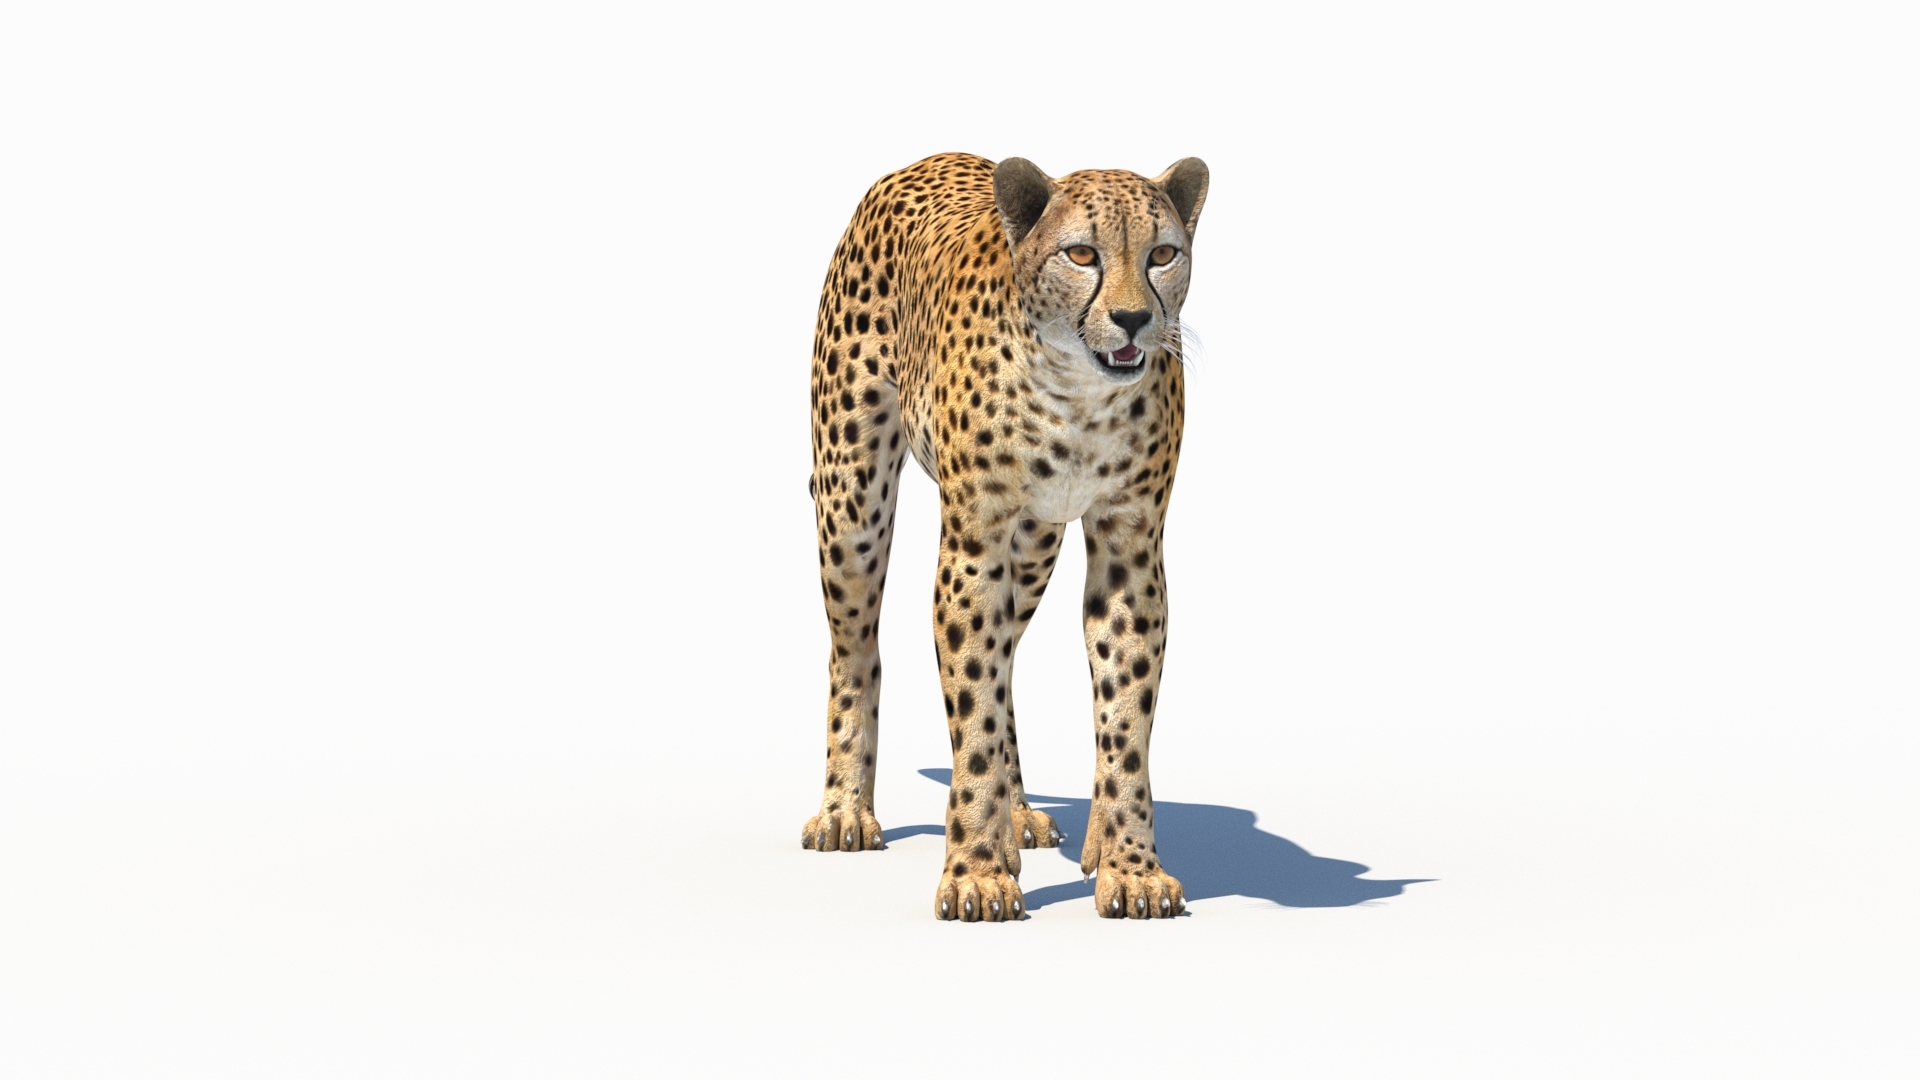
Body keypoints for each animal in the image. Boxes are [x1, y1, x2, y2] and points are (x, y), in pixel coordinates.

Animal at [801, 152, 1209, 921]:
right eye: (1081, 255)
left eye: (1162, 255)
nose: (1134, 319)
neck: (1078, 394)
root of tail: (924, 160)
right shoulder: (973, 546)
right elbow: (972, 715)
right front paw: (976, 873)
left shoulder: (1131, 547)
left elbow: (1123, 713)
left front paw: (1130, 867)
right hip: (852, 499)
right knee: (856, 650)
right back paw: (845, 810)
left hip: (1037, 544)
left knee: (1007, 658)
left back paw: (1021, 815)